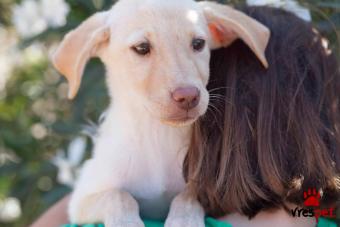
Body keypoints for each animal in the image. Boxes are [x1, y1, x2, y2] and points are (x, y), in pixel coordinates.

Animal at [51, 0, 270, 226]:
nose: (188, 96)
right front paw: (126, 221)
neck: (158, 136)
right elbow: (119, 196)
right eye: (142, 48)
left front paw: (184, 220)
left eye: (198, 43)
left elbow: (189, 195)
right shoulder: (81, 200)